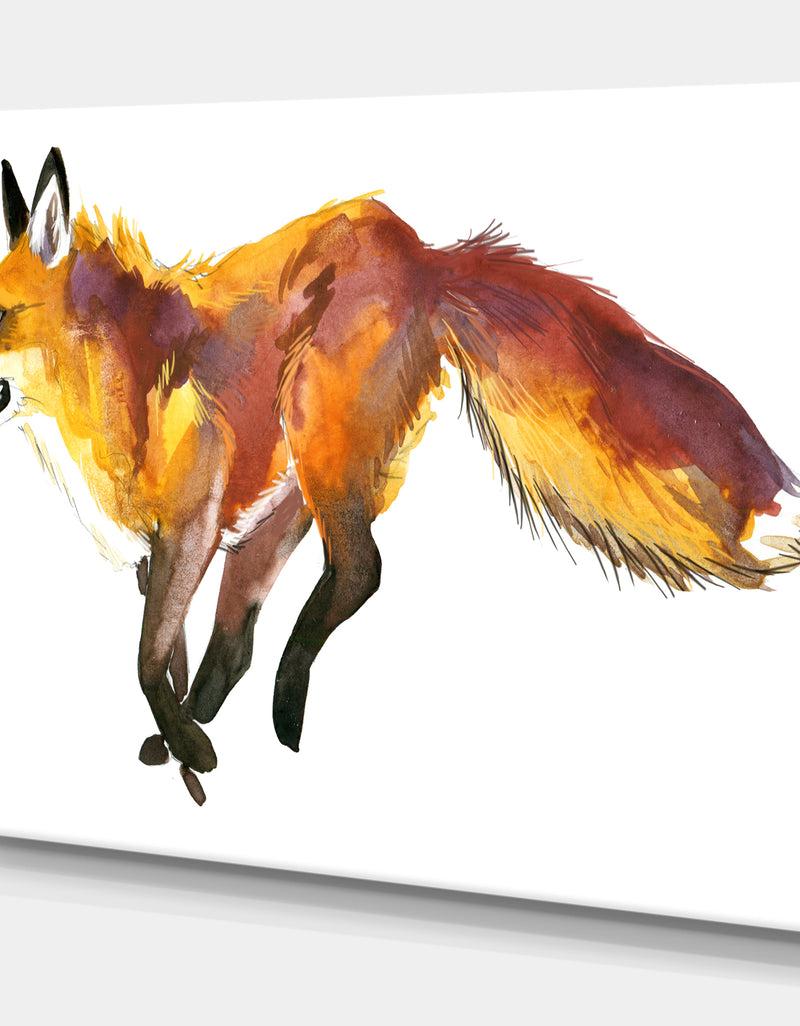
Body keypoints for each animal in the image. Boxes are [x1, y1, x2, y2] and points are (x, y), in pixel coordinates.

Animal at [1, 148, 799, 803]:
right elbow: (171, 652)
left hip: (318, 442)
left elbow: (145, 659)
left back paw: (285, 711)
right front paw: (183, 742)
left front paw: (190, 745)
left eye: (3, 314)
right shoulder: (166, 547)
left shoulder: (193, 521)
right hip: (285, 500)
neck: (111, 384)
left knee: (361, 570)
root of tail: (420, 251)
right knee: (245, 639)